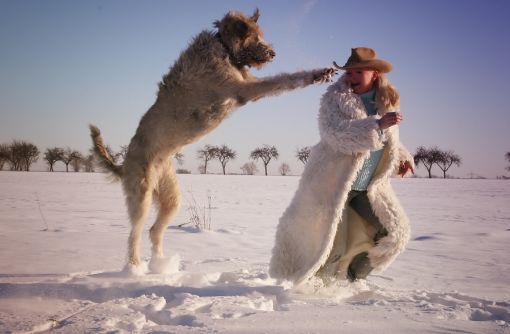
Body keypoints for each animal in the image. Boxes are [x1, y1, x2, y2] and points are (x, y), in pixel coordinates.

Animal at [89, 9, 336, 272]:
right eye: (255, 36)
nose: (273, 53)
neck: (224, 48)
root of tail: (123, 165)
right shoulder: (244, 89)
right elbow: (284, 80)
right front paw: (314, 74)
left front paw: (321, 73)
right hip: (141, 196)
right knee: (133, 235)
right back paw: (136, 269)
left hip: (171, 198)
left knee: (154, 231)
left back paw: (162, 265)